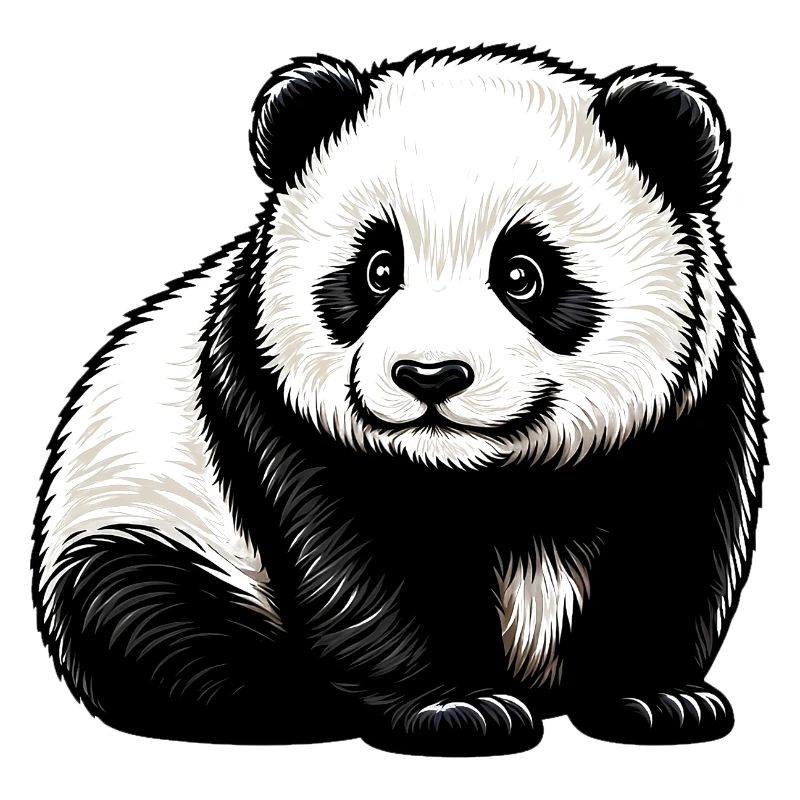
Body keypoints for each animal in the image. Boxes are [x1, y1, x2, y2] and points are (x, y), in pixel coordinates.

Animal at [32, 45, 765, 756]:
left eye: (522, 274)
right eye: (379, 270)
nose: (430, 376)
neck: (494, 476)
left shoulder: (691, 408)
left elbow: (672, 543)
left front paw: (658, 698)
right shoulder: (277, 405)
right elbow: (360, 564)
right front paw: (457, 709)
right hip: (144, 516)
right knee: (154, 616)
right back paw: (295, 698)